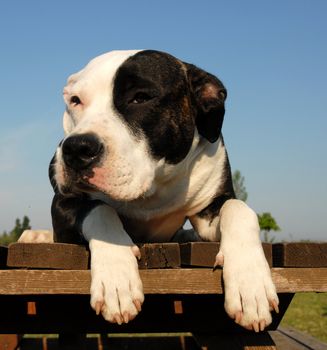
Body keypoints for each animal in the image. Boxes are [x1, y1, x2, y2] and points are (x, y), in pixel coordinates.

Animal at [19, 49, 278, 330]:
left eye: (141, 97)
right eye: (76, 100)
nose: (76, 148)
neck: (153, 189)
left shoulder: (212, 204)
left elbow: (239, 208)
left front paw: (250, 283)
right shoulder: (63, 201)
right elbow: (100, 210)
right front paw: (117, 280)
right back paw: (34, 236)